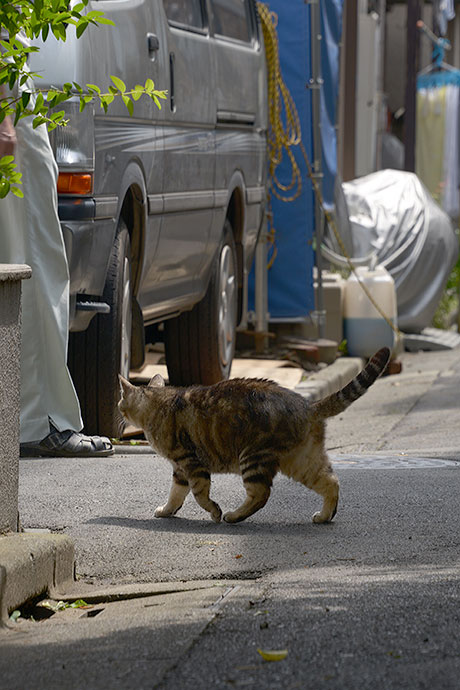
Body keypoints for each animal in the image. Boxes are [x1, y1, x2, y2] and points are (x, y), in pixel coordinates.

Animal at [117, 346, 388, 524]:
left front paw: (214, 512)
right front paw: (166, 511)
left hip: (254, 457)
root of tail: (307, 405)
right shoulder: (180, 469)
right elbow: (176, 494)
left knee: (261, 494)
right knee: (331, 481)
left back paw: (233, 516)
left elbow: (200, 494)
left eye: (120, 402)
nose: (117, 410)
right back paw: (324, 516)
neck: (159, 403)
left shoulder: (191, 463)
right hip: (303, 461)